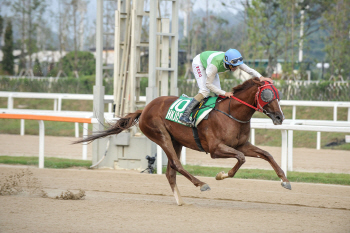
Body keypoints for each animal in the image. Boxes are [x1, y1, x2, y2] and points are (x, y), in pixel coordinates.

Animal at [76, 78, 290, 206]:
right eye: (268, 95)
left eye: (278, 95)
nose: (280, 117)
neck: (232, 113)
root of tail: (144, 109)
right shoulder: (215, 149)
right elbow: (241, 159)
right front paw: (221, 175)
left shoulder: (241, 144)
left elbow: (266, 154)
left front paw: (285, 181)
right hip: (161, 136)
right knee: (177, 165)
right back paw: (201, 184)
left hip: (176, 141)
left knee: (171, 171)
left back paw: (180, 200)